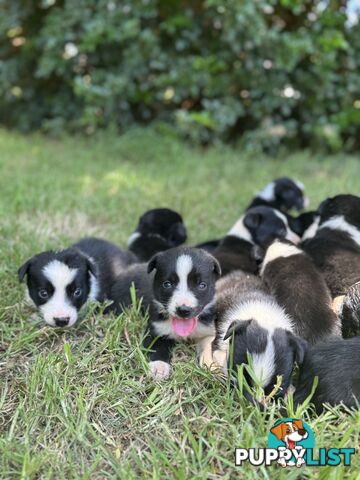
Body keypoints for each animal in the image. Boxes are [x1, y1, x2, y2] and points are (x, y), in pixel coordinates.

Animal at [141, 248, 221, 378]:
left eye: (202, 285)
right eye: (167, 284)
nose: (184, 310)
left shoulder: (208, 330)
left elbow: (208, 345)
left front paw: (210, 364)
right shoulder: (157, 330)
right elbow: (157, 346)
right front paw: (159, 366)